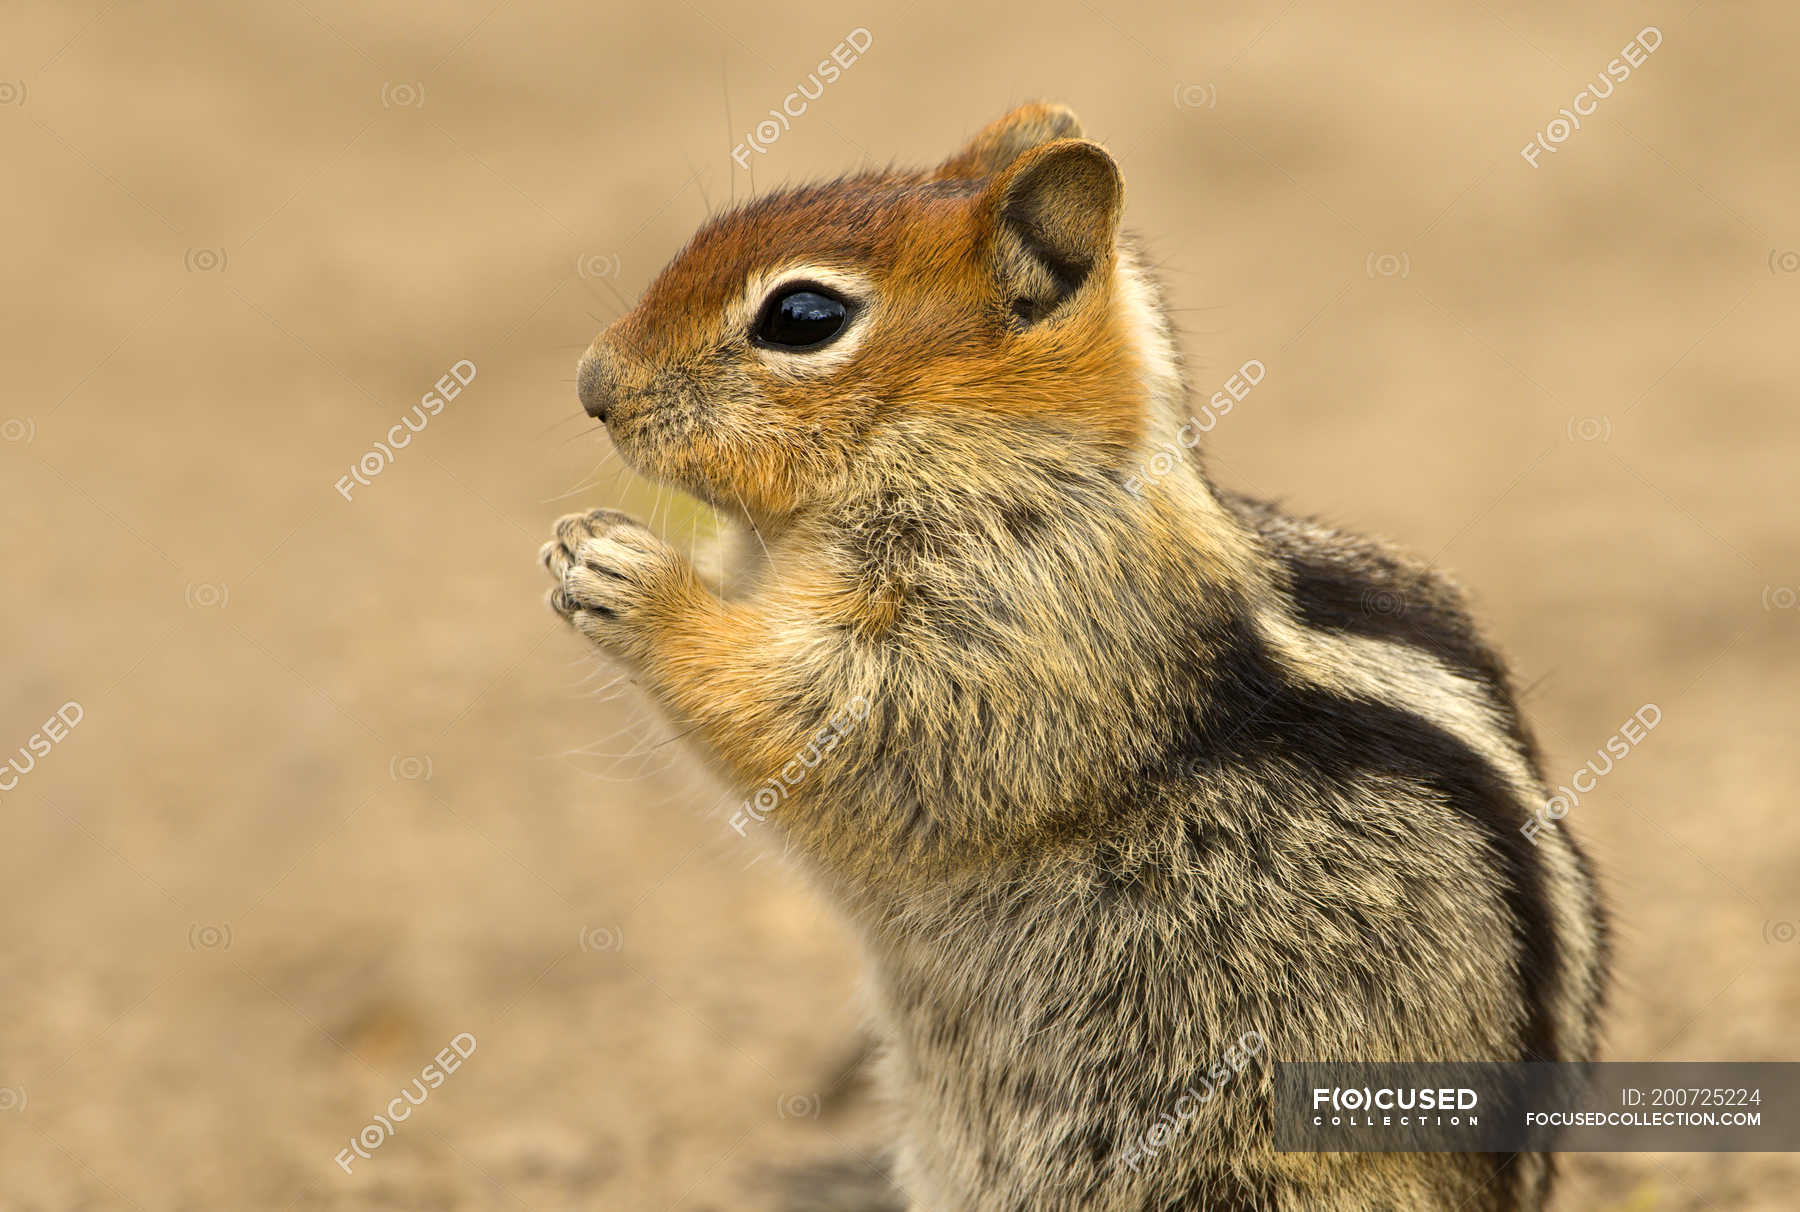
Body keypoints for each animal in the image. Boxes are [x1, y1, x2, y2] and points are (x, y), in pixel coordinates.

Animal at [540, 104, 1612, 1210]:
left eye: (801, 316)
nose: (592, 386)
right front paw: (582, 543)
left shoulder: (1002, 639)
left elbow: (829, 717)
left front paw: (629, 574)